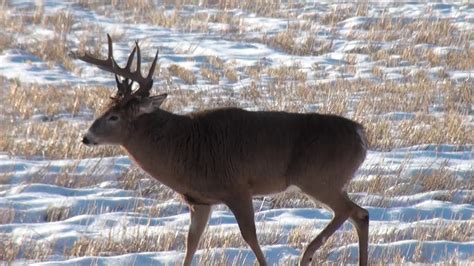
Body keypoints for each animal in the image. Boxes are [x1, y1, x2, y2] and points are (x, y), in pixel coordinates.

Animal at [72, 35, 370, 266]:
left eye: (114, 117)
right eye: (104, 109)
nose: (86, 137)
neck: (181, 146)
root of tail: (361, 134)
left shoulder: (237, 187)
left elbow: (250, 237)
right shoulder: (199, 201)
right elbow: (191, 243)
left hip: (318, 179)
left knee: (351, 211)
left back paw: (306, 255)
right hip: (328, 182)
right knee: (359, 214)